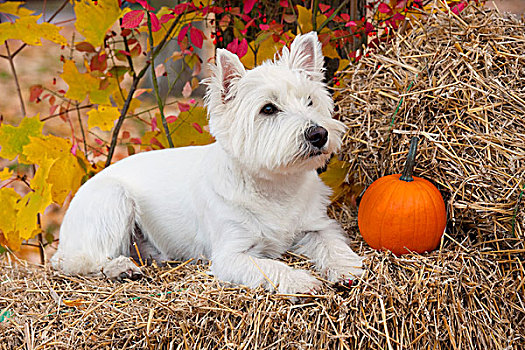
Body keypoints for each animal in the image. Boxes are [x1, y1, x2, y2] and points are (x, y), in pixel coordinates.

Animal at [51, 32, 362, 294]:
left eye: (309, 101)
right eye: (268, 109)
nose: (319, 134)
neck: (276, 188)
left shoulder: (316, 226)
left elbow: (332, 244)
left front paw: (348, 268)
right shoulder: (231, 255)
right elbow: (269, 266)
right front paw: (300, 280)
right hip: (112, 199)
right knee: (78, 261)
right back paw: (120, 268)